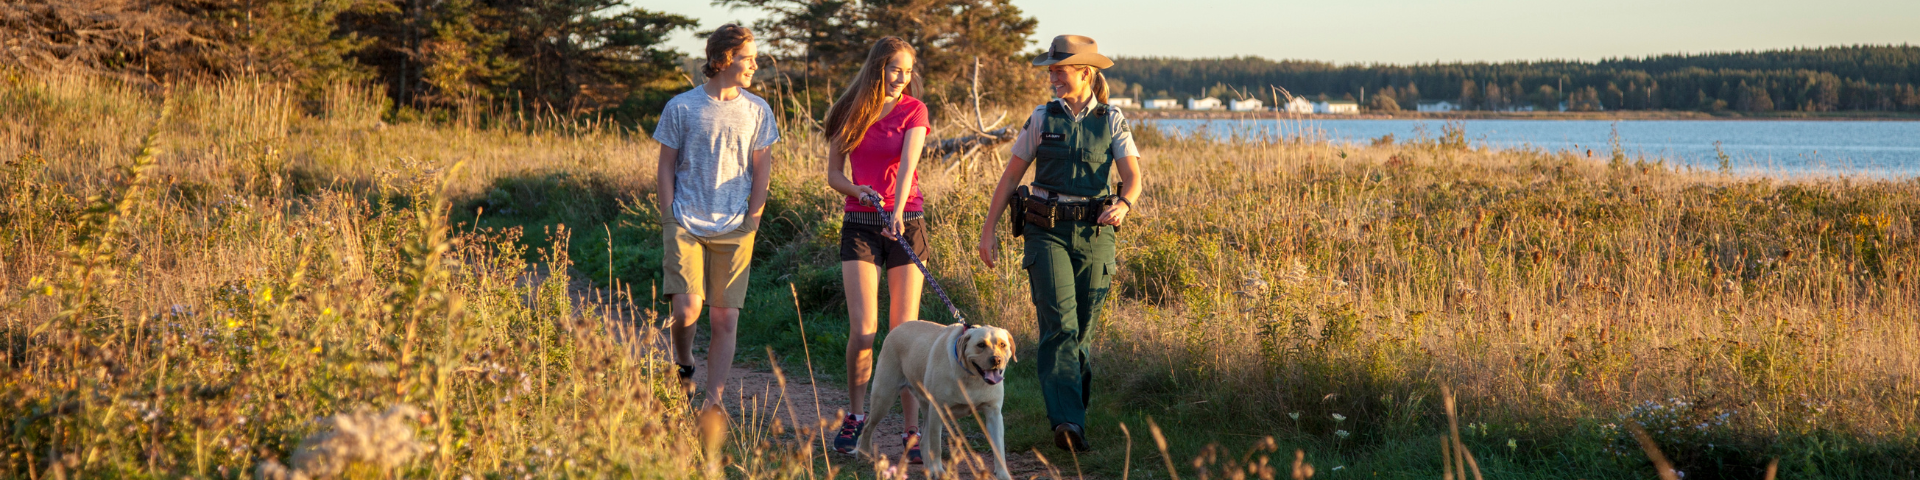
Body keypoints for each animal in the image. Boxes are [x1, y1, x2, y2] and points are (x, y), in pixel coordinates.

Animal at [860, 318, 1021, 480]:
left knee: (923, 441)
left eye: (1003, 345)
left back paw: (928, 469)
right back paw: (864, 454)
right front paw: (939, 471)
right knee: (868, 425)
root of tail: (899, 327)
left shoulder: (994, 414)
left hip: (924, 408)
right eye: (981, 345)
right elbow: (936, 447)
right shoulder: (938, 411)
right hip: (884, 397)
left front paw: (1003, 474)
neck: (971, 377)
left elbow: (998, 448)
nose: (996, 359)